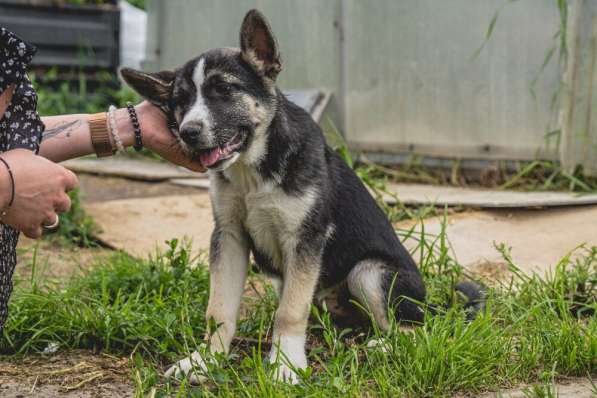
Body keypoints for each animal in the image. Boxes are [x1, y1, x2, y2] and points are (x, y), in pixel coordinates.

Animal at [120, 8, 480, 382]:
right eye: (180, 102)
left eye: (224, 90)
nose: (188, 132)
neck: (253, 172)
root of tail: (431, 305)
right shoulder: (229, 236)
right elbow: (219, 309)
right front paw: (205, 359)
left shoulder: (305, 239)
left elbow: (290, 312)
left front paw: (285, 365)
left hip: (370, 272)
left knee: (415, 329)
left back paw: (383, 346)